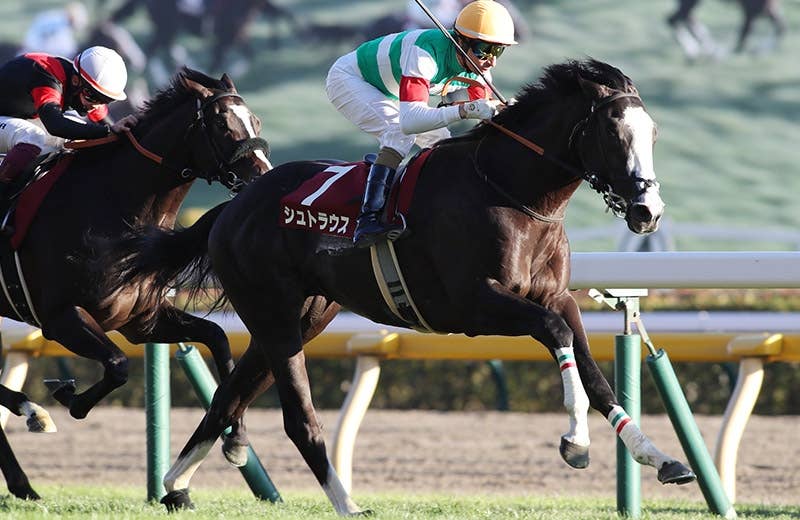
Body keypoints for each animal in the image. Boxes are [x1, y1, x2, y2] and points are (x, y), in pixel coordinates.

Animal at [0, 67, 270, 500]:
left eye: (255, 122)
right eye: (221, 125)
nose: (263, 178)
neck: (109, 207)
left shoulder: (140, 321)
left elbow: (218, 340)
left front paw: (236, 440)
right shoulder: (60, 318)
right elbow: (117, 365)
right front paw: (68, 396)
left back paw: (25, 469)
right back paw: (31, 418)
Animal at [105, 59, 696, 515]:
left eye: (654, 135)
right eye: (615, 133)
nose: (648, 211)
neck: (515, 193)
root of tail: (232, 207)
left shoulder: (556, 298)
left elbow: (594, 375)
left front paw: (661, 457)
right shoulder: (476, 304)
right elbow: (555, 335)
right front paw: (574, 443)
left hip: (301, 316)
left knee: (228, 398)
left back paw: (176, 484)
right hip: (274, 316)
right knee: (297, 418)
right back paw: (347, 503)